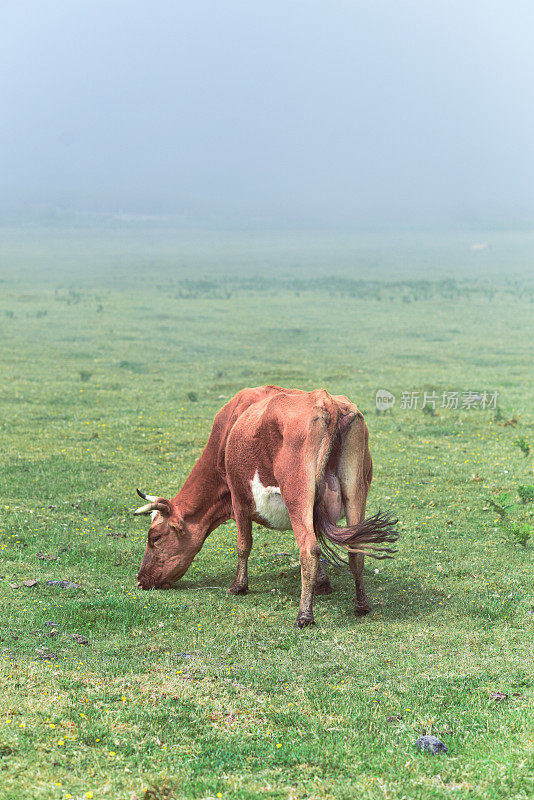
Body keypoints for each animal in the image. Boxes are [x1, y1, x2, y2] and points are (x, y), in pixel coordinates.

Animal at [136, 384, 400, 628]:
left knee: (309, 549)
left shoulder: (238, 499)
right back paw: (362, 605)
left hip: (297, 494)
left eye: (155, 537)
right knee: (355, 548)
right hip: (355, 490)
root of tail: (326, 400)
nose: (140, 579)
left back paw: (304, 615)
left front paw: (238, 586)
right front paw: (323, 583)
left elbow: (243, 545)